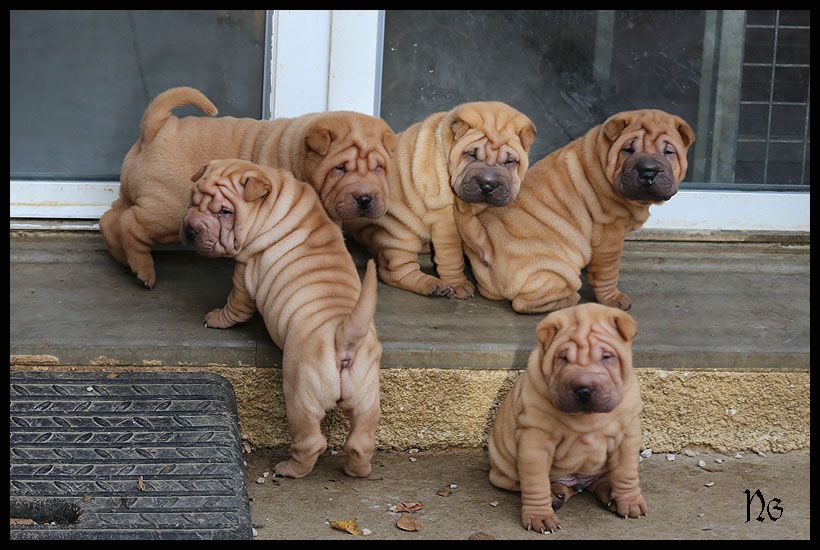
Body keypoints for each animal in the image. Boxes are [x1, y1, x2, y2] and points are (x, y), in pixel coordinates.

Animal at [102, 86, 398, 288]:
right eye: (340, 169)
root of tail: (158, 128)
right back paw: (144, 270)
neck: (297, 155)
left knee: (110, 219)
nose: (365, 199)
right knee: (130, 223)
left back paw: (123, 258)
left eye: (379, 168)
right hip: (170, 212)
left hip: (132, 195)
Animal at [181, 158, 380, 478]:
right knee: (361, 440)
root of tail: (344, 338)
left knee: (311, 440)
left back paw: (289, 469)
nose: (189, 230)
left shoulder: (243, 272)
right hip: (367, 395)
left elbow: (235, 306)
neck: (277, 200)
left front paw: (215, 318)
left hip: (301, 393)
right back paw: (356, 470)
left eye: (225, 212)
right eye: (193, 198)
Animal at [342, 101, 536, 300]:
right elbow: (451, 255)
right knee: (396, 271)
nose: (487, 185)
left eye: (510, 162)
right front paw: (458, 284)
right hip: (399, 233)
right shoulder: (445, 218)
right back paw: (432, 284)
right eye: (471, 154)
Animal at [458, 109, 696, 314]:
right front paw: (613, 299)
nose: (648, 171)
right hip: (555, 268)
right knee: (523, 303)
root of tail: (485, 242)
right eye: (628, 150)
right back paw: (571, 298)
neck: (603, 157)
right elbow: (609, 272)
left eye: (668, 152)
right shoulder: (609, 236)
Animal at [486, 304, 648, 532]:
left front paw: (630, 502)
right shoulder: (535, 440)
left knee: (603, 480)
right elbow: (535, 482)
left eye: (607, 357)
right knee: (525, 483)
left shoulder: (627, 434)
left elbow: (626, 472)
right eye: (563, 358)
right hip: (503, 469)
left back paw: (608, 494)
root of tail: (577, 483)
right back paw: (556, 494)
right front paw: (540, 516)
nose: (584, 389)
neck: (587, 417)